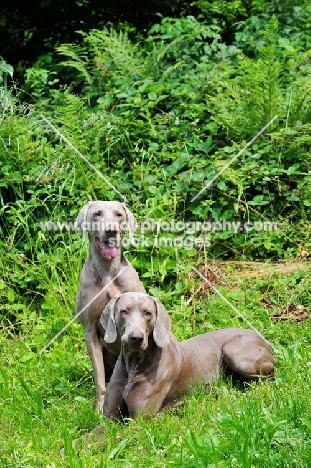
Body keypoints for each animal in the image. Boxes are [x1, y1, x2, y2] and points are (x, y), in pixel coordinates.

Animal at [100, 292, 276, 420]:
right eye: (124, 311)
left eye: (148, 313)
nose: (136, 338)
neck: (133, 365)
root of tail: (262, 338)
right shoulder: (109, 419)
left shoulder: (140, 420)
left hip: (234, 352)